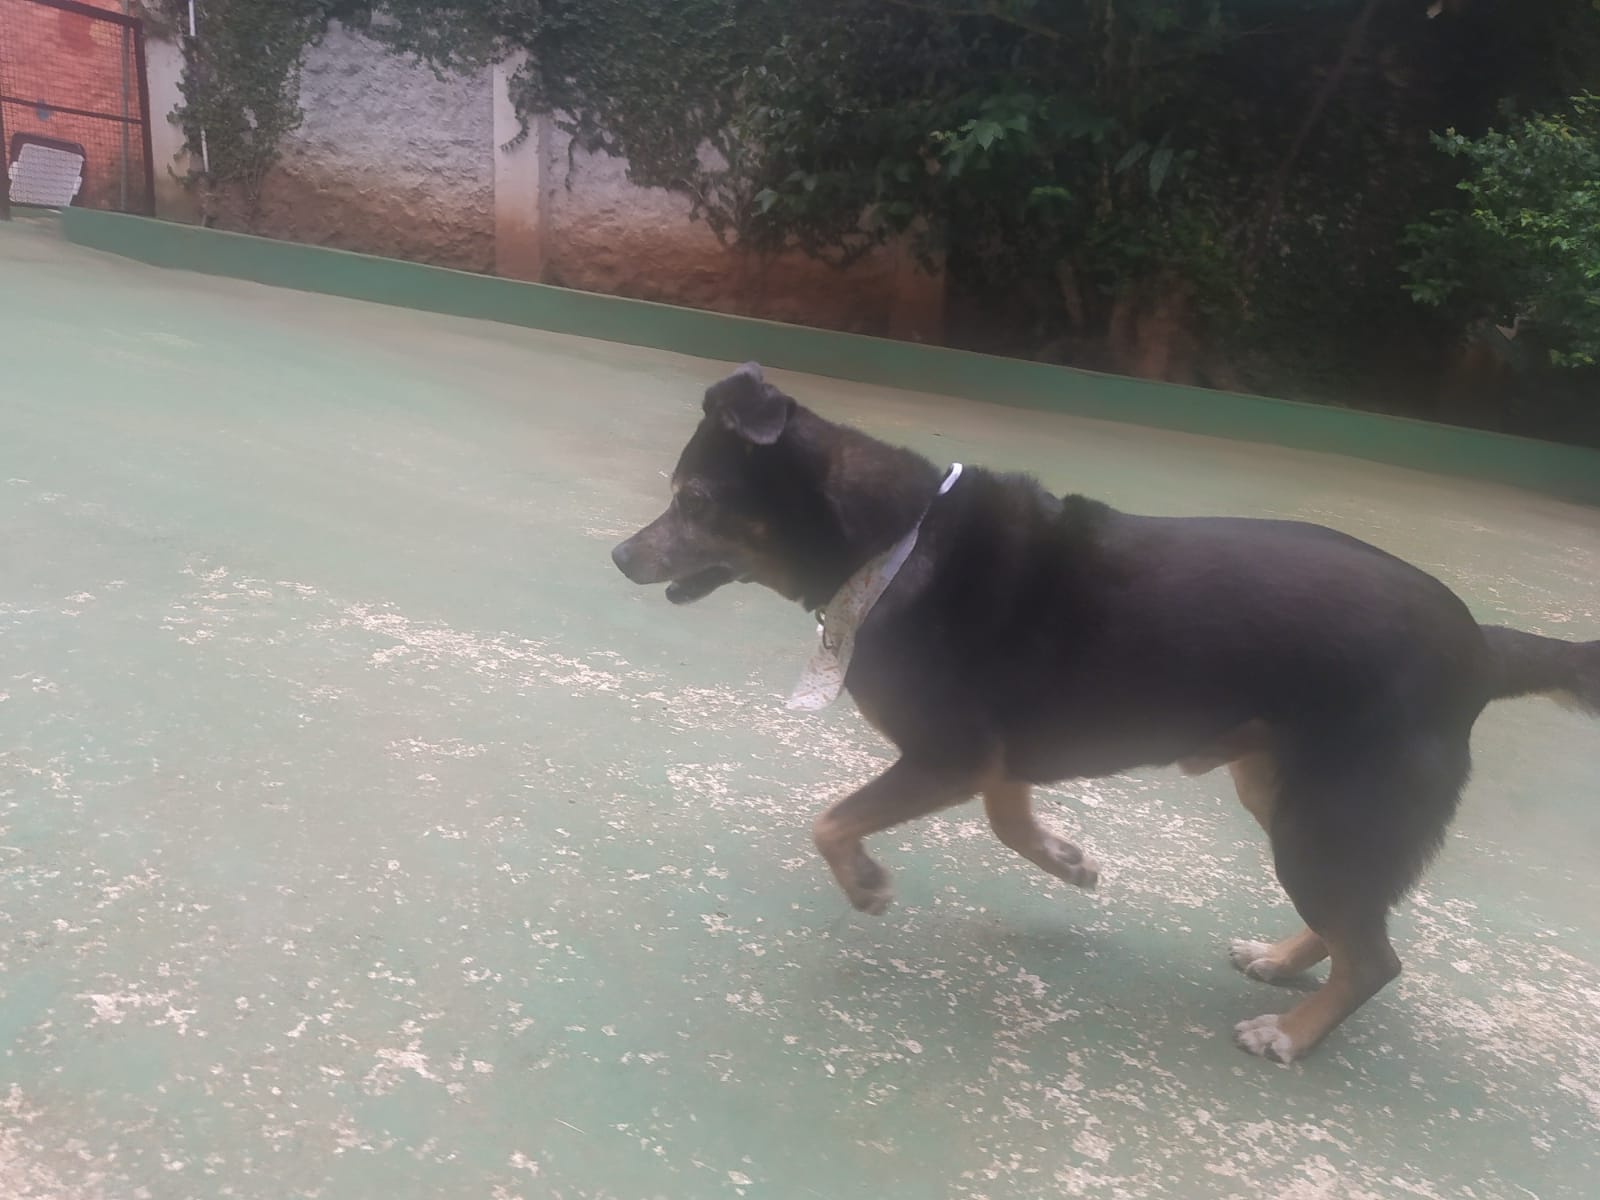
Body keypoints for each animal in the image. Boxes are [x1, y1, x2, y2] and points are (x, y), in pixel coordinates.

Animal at [612, 363, 1600, 1063]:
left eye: (694, 501)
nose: (621, 556)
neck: (892, 542)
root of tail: (1482, 646)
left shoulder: (947, 757)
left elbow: (829, 821)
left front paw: (863, 884)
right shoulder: (991, 762)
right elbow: (1011, 825)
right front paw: (1067, 860)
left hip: (1324, 817)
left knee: (1377, 955)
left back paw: (1293, 1033)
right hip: (1280, 792)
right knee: (1353, 925)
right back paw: (1283, 963)